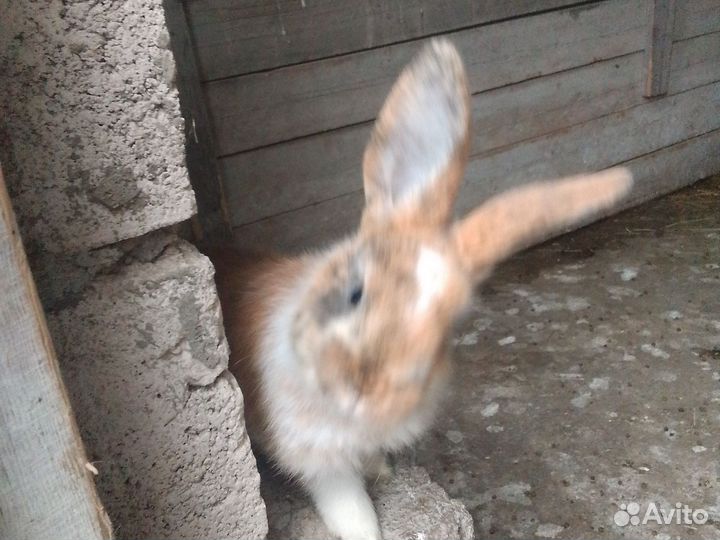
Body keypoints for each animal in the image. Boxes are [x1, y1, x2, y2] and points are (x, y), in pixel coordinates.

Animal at [209, 39, 632, 540]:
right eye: (355, 293)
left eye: (447, 328)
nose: (367, 391)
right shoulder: (319, 457)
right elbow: (349, 506)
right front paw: (367, 532)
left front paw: (382, 471)